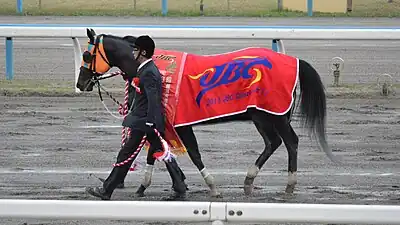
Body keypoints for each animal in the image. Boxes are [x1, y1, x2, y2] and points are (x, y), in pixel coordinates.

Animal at [76, 28, 338, 199]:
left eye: (87, 55)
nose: (81, 83)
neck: (157, 67)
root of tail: (294, 60)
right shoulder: (162, 122)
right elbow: (155, 150)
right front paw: (155, 185)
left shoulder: (174, 123)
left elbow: (191, 153)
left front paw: (206, 186)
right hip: (261, 116)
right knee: (272, 142)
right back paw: (249, 180)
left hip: (275, 114)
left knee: (290, 141)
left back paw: (289, 185)